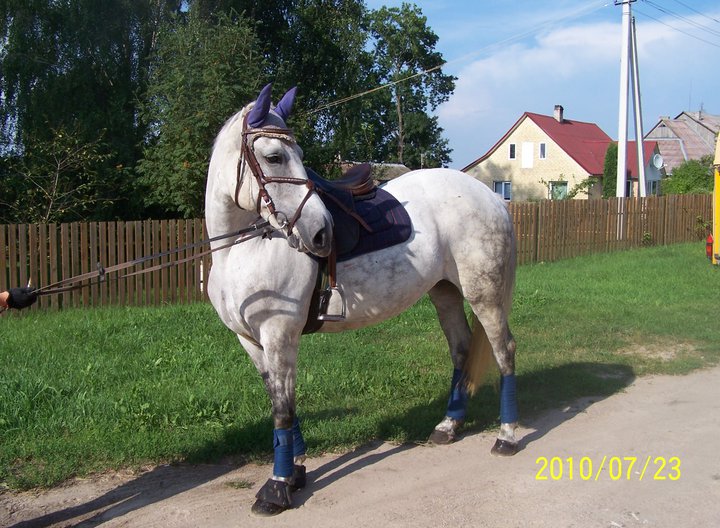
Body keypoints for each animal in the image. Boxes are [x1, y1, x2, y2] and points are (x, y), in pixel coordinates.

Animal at [204, 84, 519, 516]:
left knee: (504, 351)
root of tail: (490, 197)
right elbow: (282, 404)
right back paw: (448, 426)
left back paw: (507, 436)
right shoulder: (252, 341)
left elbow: (283, 410)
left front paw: (277, 488)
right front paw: (297, 474)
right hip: (446, 294)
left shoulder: (279, 336)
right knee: (461, 350)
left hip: (484, 294)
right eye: (274, 156)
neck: (243, 249)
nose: (321, 233)